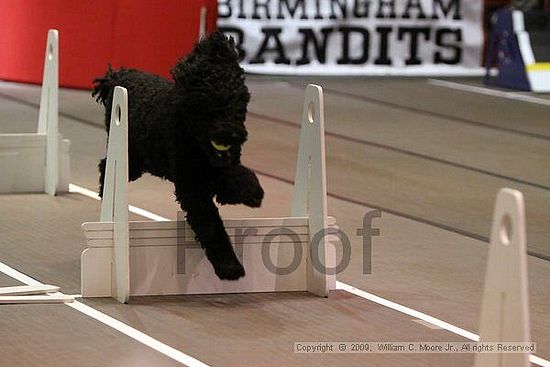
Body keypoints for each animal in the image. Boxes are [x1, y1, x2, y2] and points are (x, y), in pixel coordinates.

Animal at [92, 33, 266, 282]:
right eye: (213, 104)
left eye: (239, 103)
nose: (233, 134)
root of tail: (116, 76)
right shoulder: (191, 188)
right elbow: (210, 225)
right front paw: (229, 266)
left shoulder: (220, 167)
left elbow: (237, 177)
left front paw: (252, 192)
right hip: (132, 157)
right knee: (106, 165)